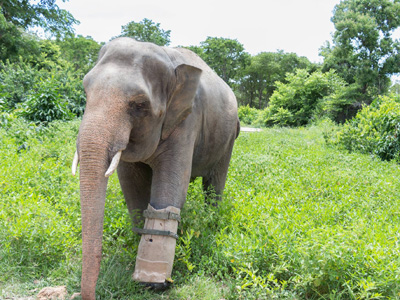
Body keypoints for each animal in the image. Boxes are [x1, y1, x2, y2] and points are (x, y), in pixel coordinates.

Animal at [71, 36, 241, 298]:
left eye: (139, 104)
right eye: (85, 92)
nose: (91, 294)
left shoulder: (186, 121)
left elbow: (170, 189)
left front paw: (153, 282)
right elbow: (131, 187)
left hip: (228, 136)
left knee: (214, 184)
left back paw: (212, 220)